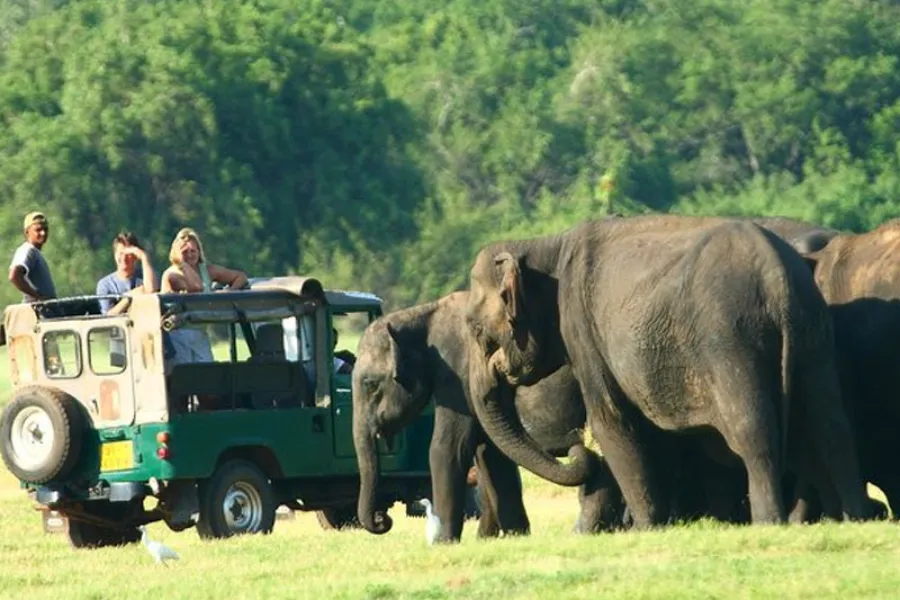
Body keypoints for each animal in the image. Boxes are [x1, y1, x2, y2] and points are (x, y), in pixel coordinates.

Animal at [352, 291, 625, 542]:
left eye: (369, 384)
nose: (382, 519)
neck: (420, 315)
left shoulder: (458, 374)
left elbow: (448, 447)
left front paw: (444, 542)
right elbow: (490, 453)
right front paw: (512, 535)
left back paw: (586, 531)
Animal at [462, 214, 872, 527]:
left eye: (476, 330)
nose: (579, 449)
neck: (546, 246)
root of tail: (778, 279)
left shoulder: (582, 329)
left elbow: (613, 421)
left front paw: (646, 528)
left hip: (729, 340)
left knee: (754, 432)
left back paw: (769, 522)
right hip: (812, 334)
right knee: (830, 423)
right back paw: (856, 517)